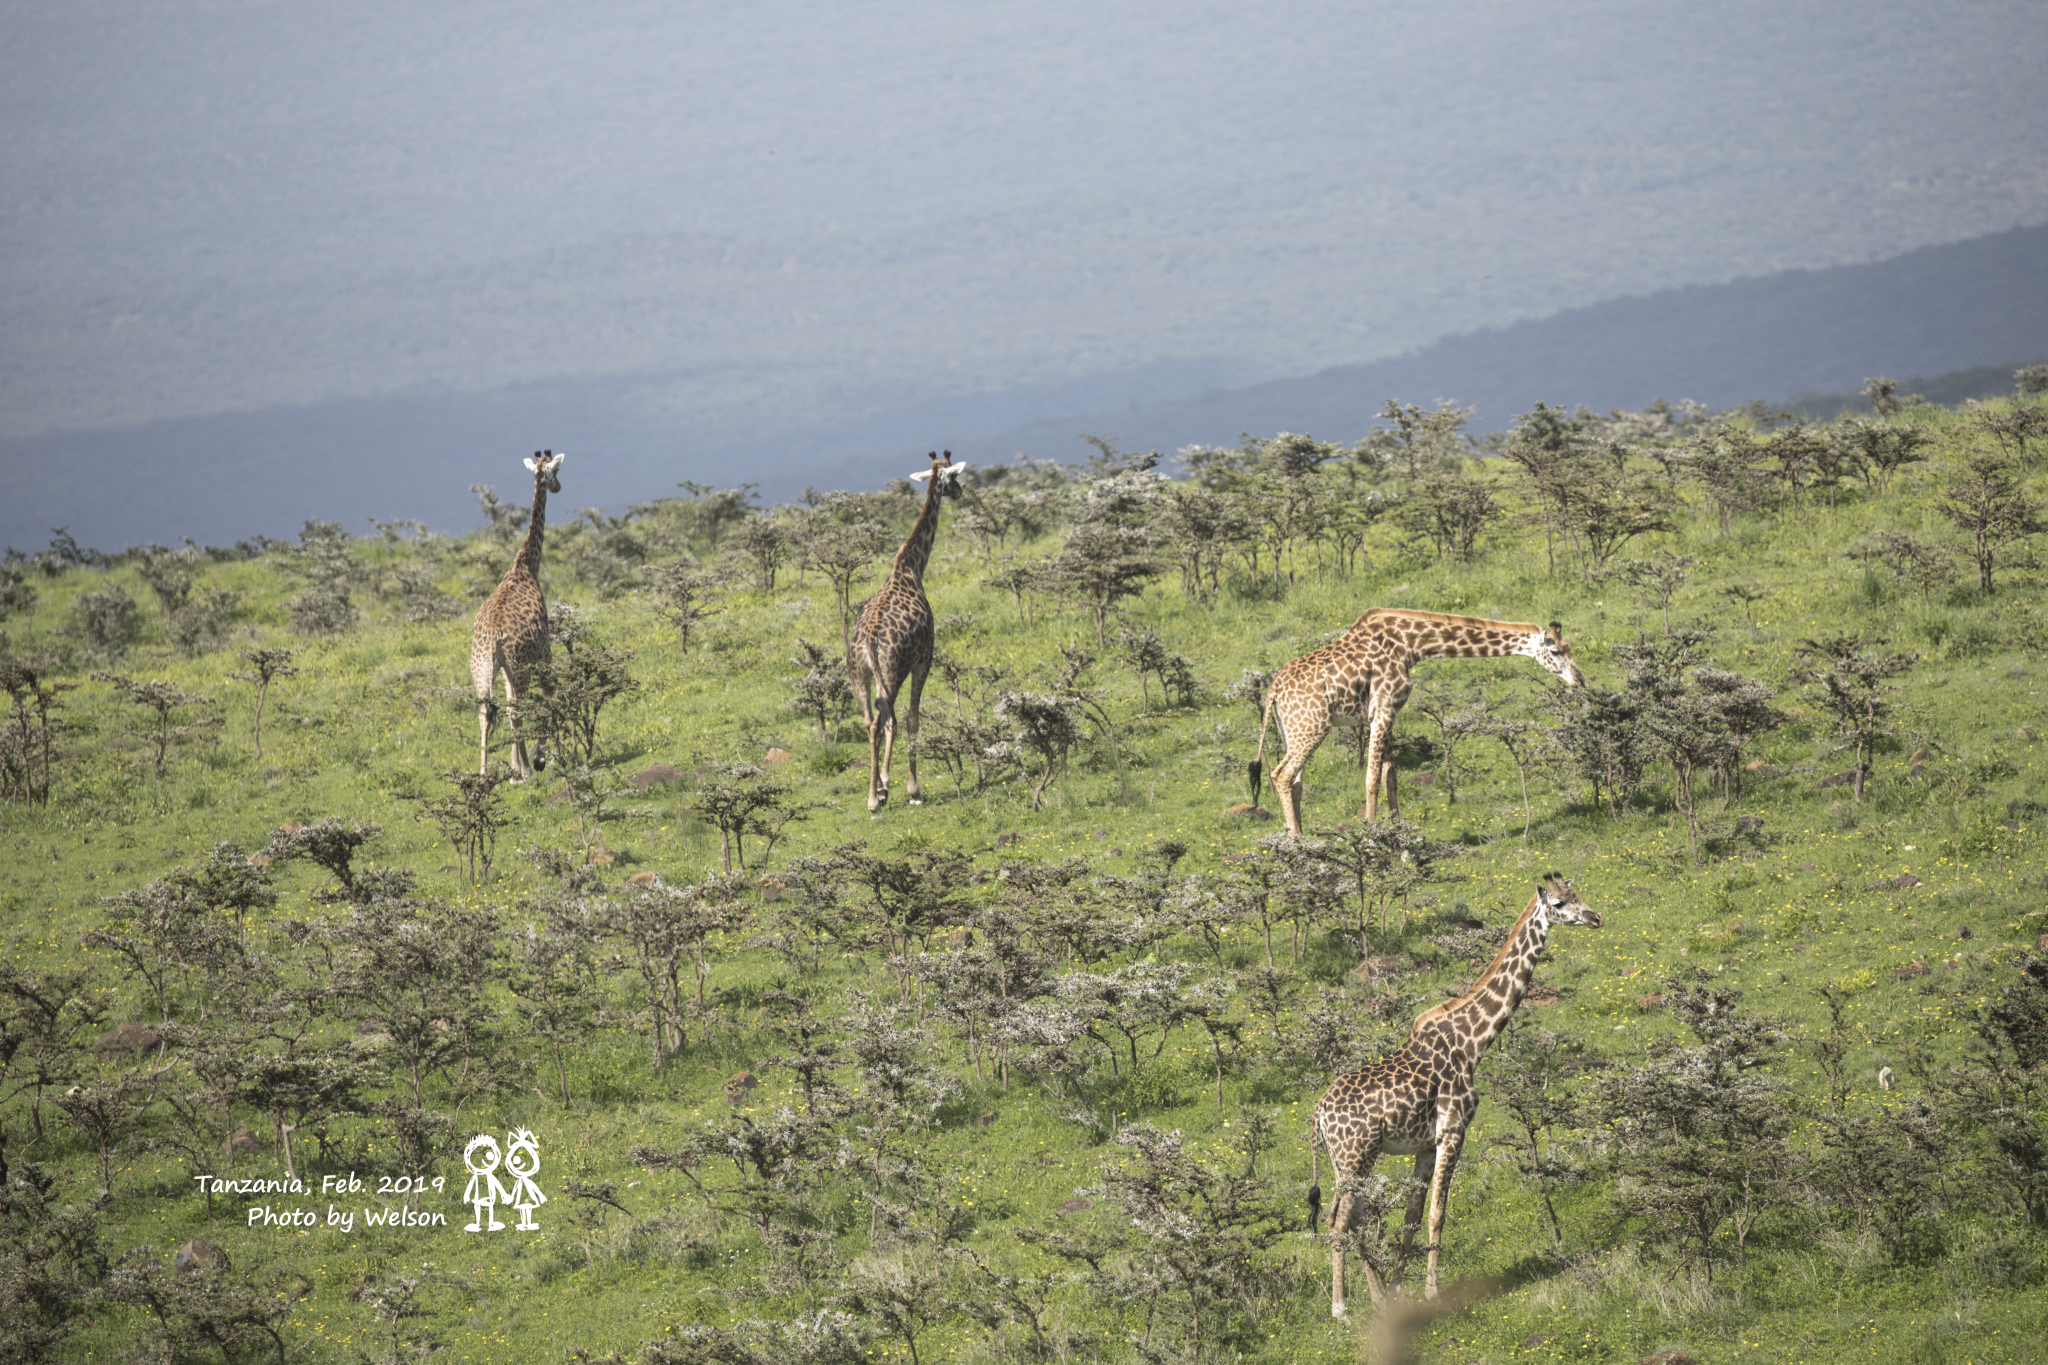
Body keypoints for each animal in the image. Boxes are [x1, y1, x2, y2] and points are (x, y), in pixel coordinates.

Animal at [466, 450, 561, 777]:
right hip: (519, 666)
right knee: (517, 709)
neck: (527, 565)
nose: (558, 487)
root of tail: (494, 635)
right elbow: (548, 695)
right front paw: (542, 756)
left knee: (486, 710)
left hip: (482, 667)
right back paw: (527, 772)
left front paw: (515, 763)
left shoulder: (507, 665)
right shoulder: (545, 650)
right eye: (557, 471)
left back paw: (485, 774)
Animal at [843, 450, 962, 810]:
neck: (911, 567)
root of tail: (867, 642)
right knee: (888, 719)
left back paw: (872, 797)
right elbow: (912, 718)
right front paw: (911, 789)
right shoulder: (925, 658)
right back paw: (880, 793)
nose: (961, 492)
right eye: (954, 476)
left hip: (858, 674)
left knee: (870, 721)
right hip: (892, 671)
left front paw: (885, 786)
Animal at [1245, 609, 1581, 843]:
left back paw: (1300, 841)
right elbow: (1371, 778)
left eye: (1569, 648)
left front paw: (1400, 841)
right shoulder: (1382, 709)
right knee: (1281, 774)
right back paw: (1296, 842)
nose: (1579, 679)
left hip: (1293, 730)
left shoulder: (1388, 712)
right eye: (1555, 651)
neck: (1411, 645)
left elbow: (1390, 777)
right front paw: (1372, 837)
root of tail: (1273, 689)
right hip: (1313, 728)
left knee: (1294, 781)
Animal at [1310, 875, 1597, 1309]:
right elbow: (1438, 1214)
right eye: (1561, 904)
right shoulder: (1453, 1131)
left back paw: (1376, 1300)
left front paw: (1398, 1292)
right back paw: (1340, 1308)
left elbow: (1412, 1217)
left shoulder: (1427, 1144)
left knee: (1354, 1217)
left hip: (1343, 1161)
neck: (1471, 1044)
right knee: (1337, 1218)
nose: (1595, 918)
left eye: (1577, 895)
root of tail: (1320, 1115)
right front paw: (1432, 1293)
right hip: (1356, 1156)